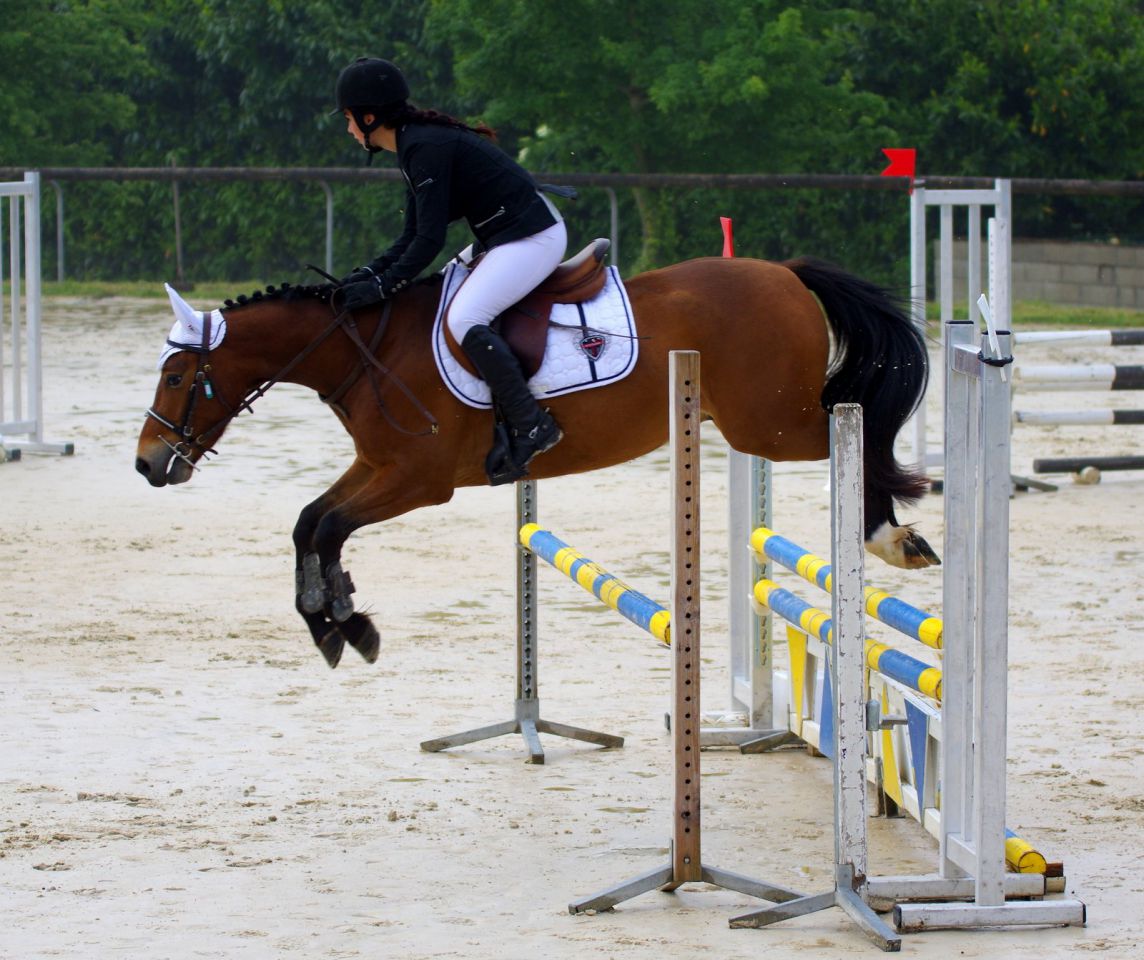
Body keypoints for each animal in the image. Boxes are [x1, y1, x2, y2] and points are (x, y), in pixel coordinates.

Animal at [136, 248, 938, 668]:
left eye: (175, 376)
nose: (148, 465)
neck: (368, 352)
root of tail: (786, 272)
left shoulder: (417, 481)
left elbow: (328, 526)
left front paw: (341, 621)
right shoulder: (379, 468)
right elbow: (311, 521)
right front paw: (336, 621)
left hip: (771, 427)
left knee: (858, 433)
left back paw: (891, 537)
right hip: (760, 425)